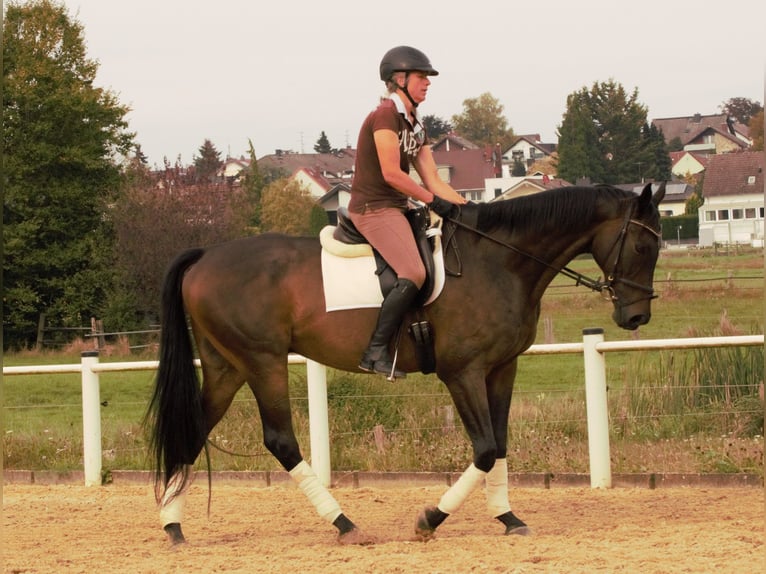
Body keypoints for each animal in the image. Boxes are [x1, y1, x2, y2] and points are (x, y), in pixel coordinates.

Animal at [146, 182, 664, 548]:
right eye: (643, 247)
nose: (636, 317)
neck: (499, 261)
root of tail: (205, 256)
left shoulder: (502, 368)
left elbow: (500, 445)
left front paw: (508, 518)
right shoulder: (463, 372)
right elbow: (484, 449)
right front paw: (430, 520)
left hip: (227, 367)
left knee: (194, 430)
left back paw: (173, 526)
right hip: (263, 362)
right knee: (281, 441)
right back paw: (345, 524)